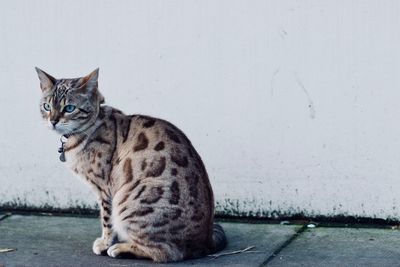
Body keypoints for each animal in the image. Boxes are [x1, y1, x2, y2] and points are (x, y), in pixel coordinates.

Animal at [36, 68, 227, 262]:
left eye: (69, 108)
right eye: (47, 107)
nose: (53, 121)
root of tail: (206, 241)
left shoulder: (105, 190)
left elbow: (107, 220)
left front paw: (105, 243)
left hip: (129, 204)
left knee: (166, 252)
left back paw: (120, 248)